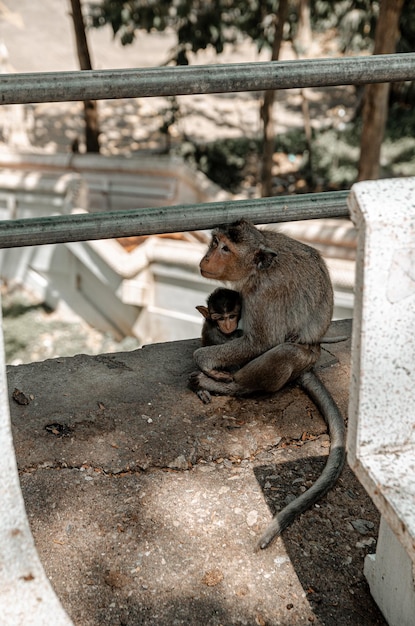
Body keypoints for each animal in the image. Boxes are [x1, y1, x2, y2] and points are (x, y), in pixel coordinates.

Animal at [190, 218, 346, 544]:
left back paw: (225, 385)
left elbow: (261, 341)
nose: (207, 258)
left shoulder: (266, 293)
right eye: (215, 242)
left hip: (301, 357)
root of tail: (313, 356)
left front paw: (205, 363)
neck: (257, 269)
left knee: (281, 353)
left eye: (226, 248)